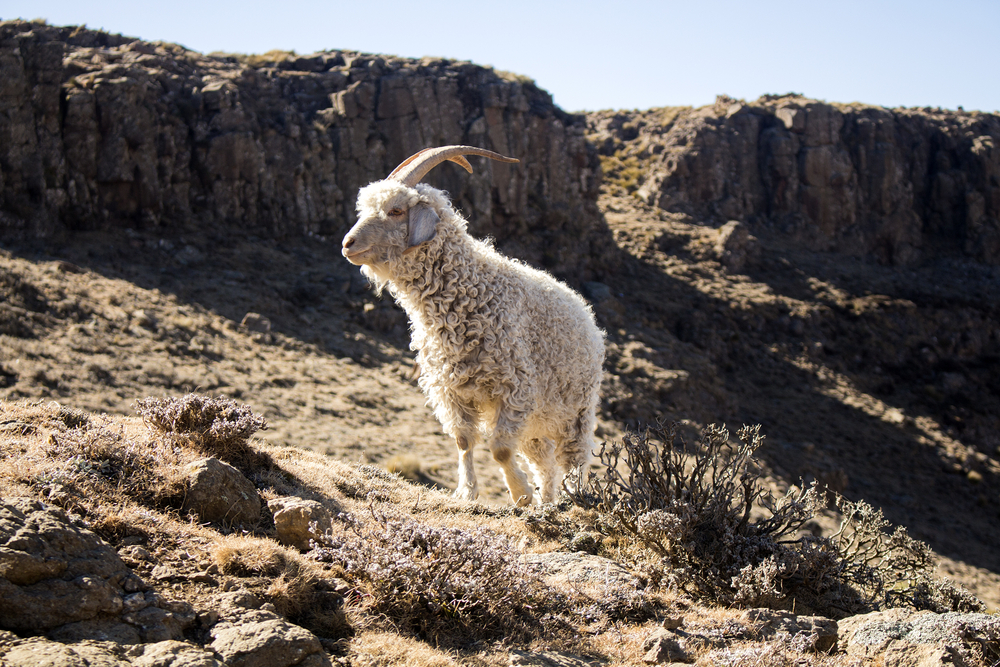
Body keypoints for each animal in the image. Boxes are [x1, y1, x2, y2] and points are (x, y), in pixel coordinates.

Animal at [340, 144, 604, 504]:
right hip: (536, 426)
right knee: (546, 465)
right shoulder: (451, 390)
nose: (347, 244)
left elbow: (500, 449)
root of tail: (586, 312)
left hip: (577, 411)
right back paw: (548, 501)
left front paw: (520, 494)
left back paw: (573, 499)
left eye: (395, 210)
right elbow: (464, 442)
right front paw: (466, 492)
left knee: (574, 460)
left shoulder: (515, 388)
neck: (471, 292)